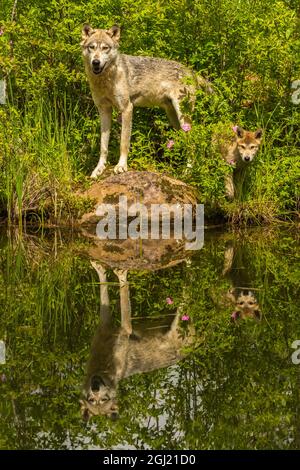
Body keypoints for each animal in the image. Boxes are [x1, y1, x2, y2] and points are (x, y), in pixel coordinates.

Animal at [79, 23, 211, 178]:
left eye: (105, 48)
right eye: (92, 47)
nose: (96, 62)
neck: (106, 80)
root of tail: (191, 71)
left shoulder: (127, 108)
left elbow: (124, 142)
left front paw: (121, 166)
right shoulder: (104, 110)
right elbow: (103, 146)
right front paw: (98, 169)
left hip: (182, 117)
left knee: (193, 143)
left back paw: (187, 172)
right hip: (174, 120)